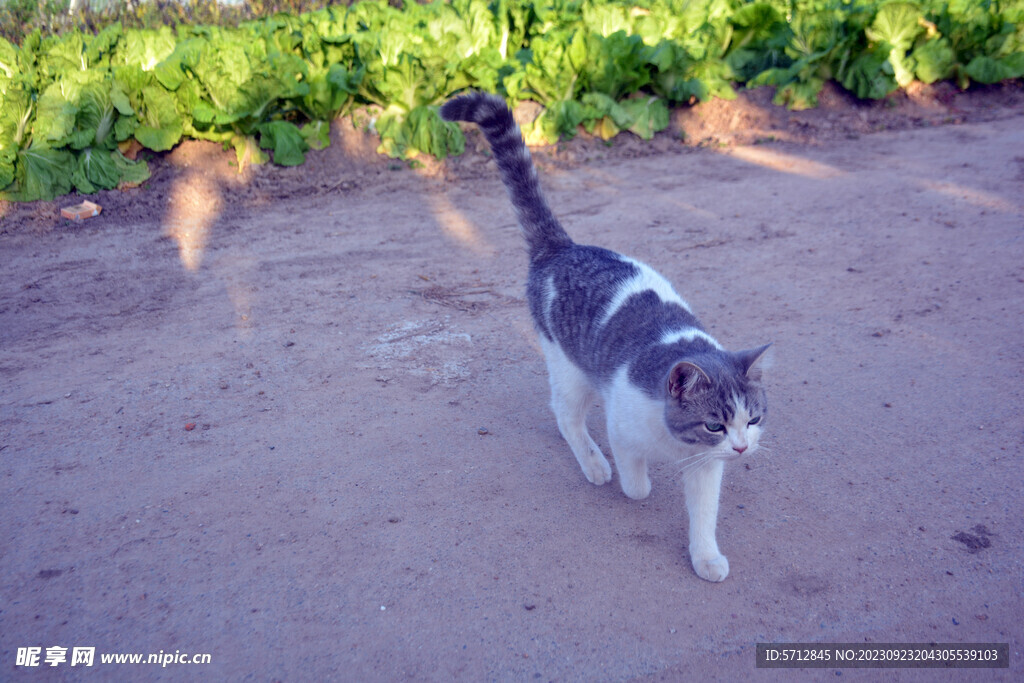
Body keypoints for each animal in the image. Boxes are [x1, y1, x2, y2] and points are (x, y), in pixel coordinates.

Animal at [440, 92, 770, 581]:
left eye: (753, 419)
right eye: (715, 423)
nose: (744, 449)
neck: (677, 442)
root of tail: (562, 248)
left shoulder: (707, 465)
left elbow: (704, 513)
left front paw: (706, 557)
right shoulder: (624, 424)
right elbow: (635, 481)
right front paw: (636, 482)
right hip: (568, 368)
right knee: (565, 414)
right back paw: (593, 462)